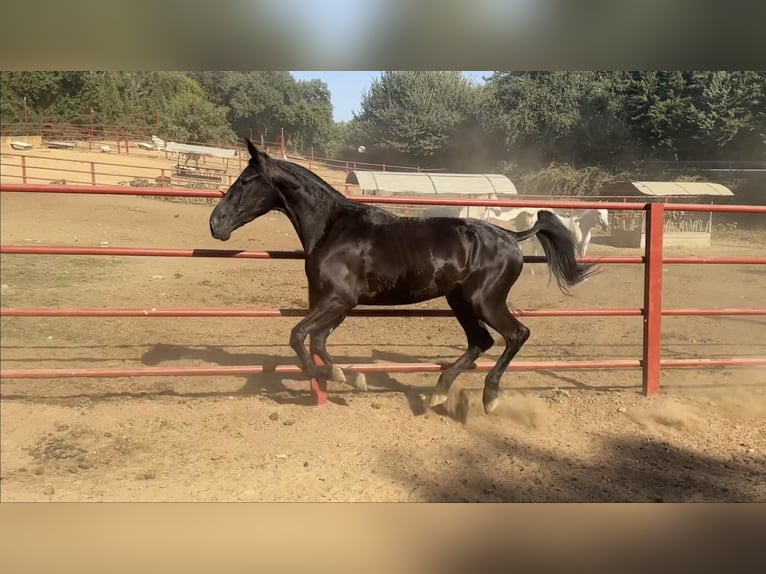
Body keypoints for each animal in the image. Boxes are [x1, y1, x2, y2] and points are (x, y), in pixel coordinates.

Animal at [210, 142, 600, 416]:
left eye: (245, 181)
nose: (216, 223)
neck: (332, 228)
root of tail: (510, 237)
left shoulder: (339, 299)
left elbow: (298, 335)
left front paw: (328, 377)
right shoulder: (337, 304)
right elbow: (317, 340)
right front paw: (348, 377)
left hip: (485, 301)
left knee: (516, 334)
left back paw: (489, 398)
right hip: (459, 301)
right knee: (481, 341)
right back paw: (439, 392)